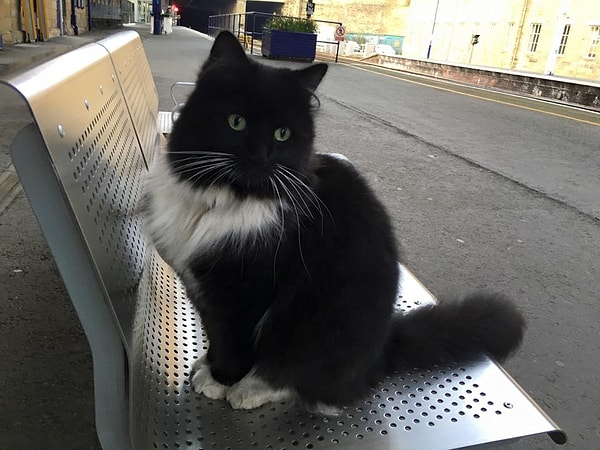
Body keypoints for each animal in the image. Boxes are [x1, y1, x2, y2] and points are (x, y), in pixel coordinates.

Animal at [144, 30, 524, 412]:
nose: (260, 157)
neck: (226, 199)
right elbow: (214, 333)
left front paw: (221, 381)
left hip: (318, 329)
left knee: (303, 379)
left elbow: (232, 342)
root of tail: (381, 353)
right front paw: (207, 365)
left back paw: (252, 389)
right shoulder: (200, 286)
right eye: (236, 122)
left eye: (282, 134)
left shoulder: (246, 292)